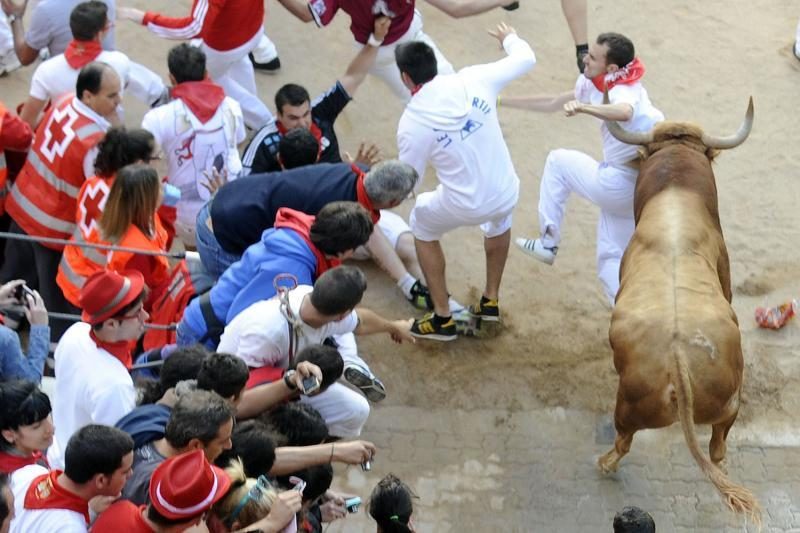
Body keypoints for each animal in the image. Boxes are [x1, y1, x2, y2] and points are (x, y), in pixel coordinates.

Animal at [600, 96, 764, 524]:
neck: (674, 198)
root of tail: (677, 355)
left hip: (626, 406)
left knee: (624, 441)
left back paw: (603, 463)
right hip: (729, 405)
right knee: (717, 448)